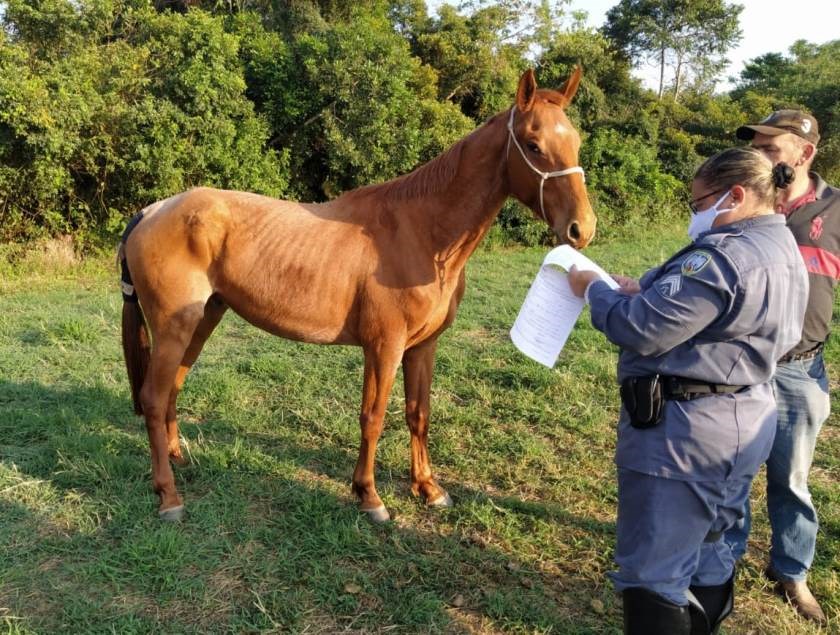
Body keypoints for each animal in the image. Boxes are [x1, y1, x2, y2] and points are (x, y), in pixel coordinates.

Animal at [120, 68, 596, 520]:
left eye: (575, 140)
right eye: (533, 144)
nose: (582, 228)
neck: (421, 232)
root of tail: (152, 211)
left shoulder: (422, 347)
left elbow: (418, 414)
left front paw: (428, 488)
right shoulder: (383, 347)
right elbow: (374, 416)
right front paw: (369, 495)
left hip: (203, 319)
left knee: (172, 388)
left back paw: (178, 458)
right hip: (174, 327)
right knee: (153, 398)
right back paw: (168, 495)